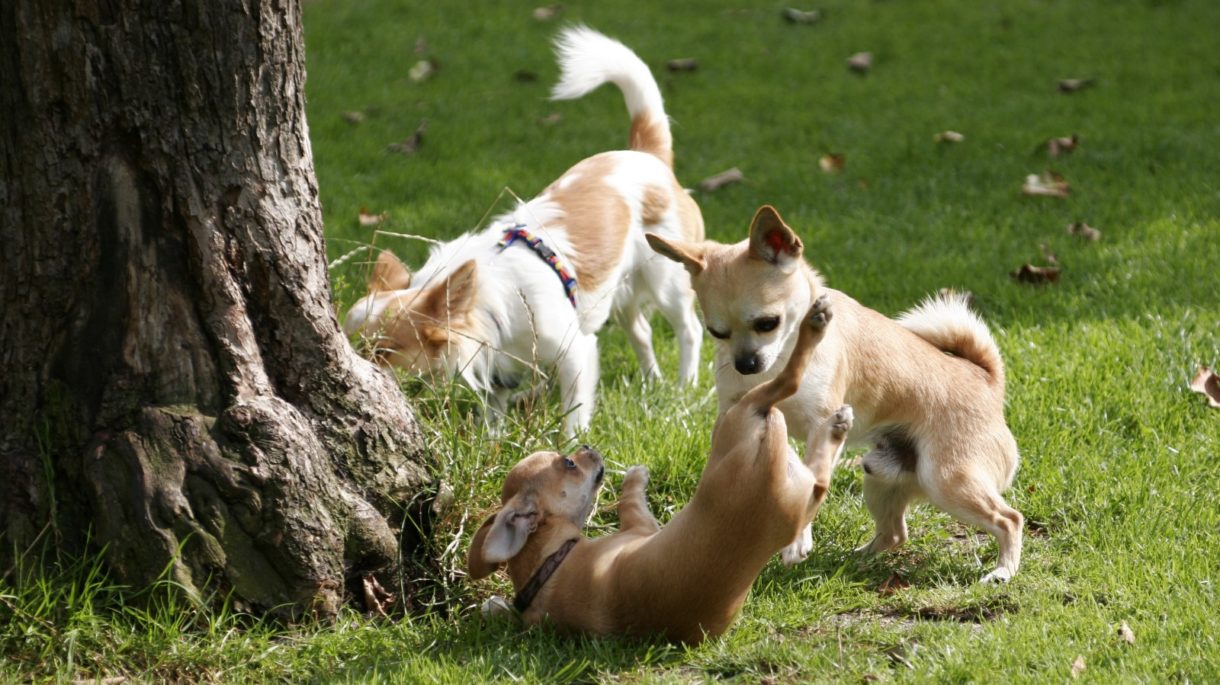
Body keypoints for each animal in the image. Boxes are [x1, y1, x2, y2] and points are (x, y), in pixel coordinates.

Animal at [346, 26, 707, 434]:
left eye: (384, 352)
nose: (357, 368)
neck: (486, 298)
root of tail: (646, 155)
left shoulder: (575, 352)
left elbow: (574, 413)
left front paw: (572, 447)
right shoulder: (498, 367)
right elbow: (494, 416)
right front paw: (492, 441)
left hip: (666, 279)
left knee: (689, 329)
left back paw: (683, 388)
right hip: (620, 291)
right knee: (642, 330)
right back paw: (651, 383)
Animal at [461, 297, 854, 639]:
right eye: (569, 463)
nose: (587, 447)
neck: (545, 565)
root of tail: (768, 468)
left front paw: (494, 607)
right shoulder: (639, 525)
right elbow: (630, 499)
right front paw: (635, 475)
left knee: (817, 482)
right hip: (740, 416)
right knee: (790, 387)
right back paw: (819, 346)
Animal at [653, 203, 1024, 581]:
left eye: (767, 324)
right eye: (716, 333)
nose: (745, 364)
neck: (780, 362)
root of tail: (988, 382)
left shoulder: (819, 421)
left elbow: (813, 472)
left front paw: (797, 541)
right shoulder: (742, 416)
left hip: (948, 481)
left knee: (1009, 519)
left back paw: (1003, 571)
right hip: (882, 475)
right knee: (894, 533)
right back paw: (854, 560)